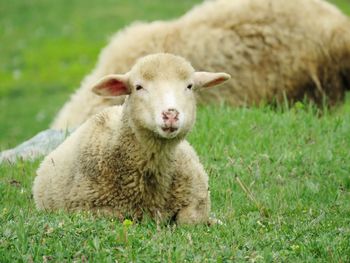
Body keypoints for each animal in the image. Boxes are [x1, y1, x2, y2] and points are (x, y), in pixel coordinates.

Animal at [32, 53, 230, 225]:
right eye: (138, 87)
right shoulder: (88, 208)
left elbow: (189, 219)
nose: (171, 114)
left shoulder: (198, 198)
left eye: (189, 86)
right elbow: (120, 216)